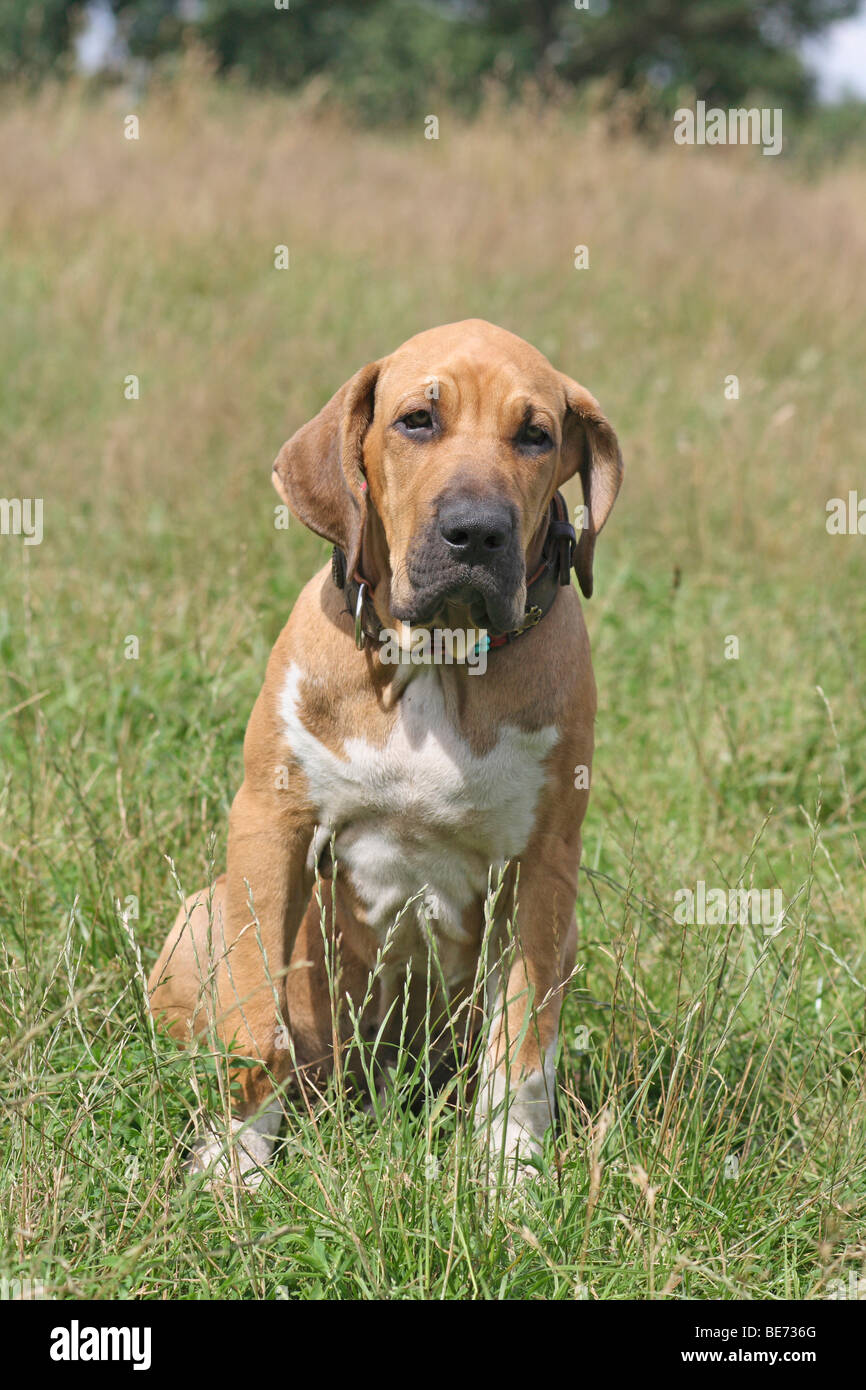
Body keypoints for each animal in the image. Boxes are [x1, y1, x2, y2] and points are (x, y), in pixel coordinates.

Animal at [148, 318, 622, 1184]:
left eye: (536, 435)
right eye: (417, 421)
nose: (477, 531)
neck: (436, 657)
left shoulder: (545, 863)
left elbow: (522, 1046)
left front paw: (509, 1176)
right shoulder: (269, 822)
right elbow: (253, 1019)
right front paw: (234, 1164)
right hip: (202, 912)